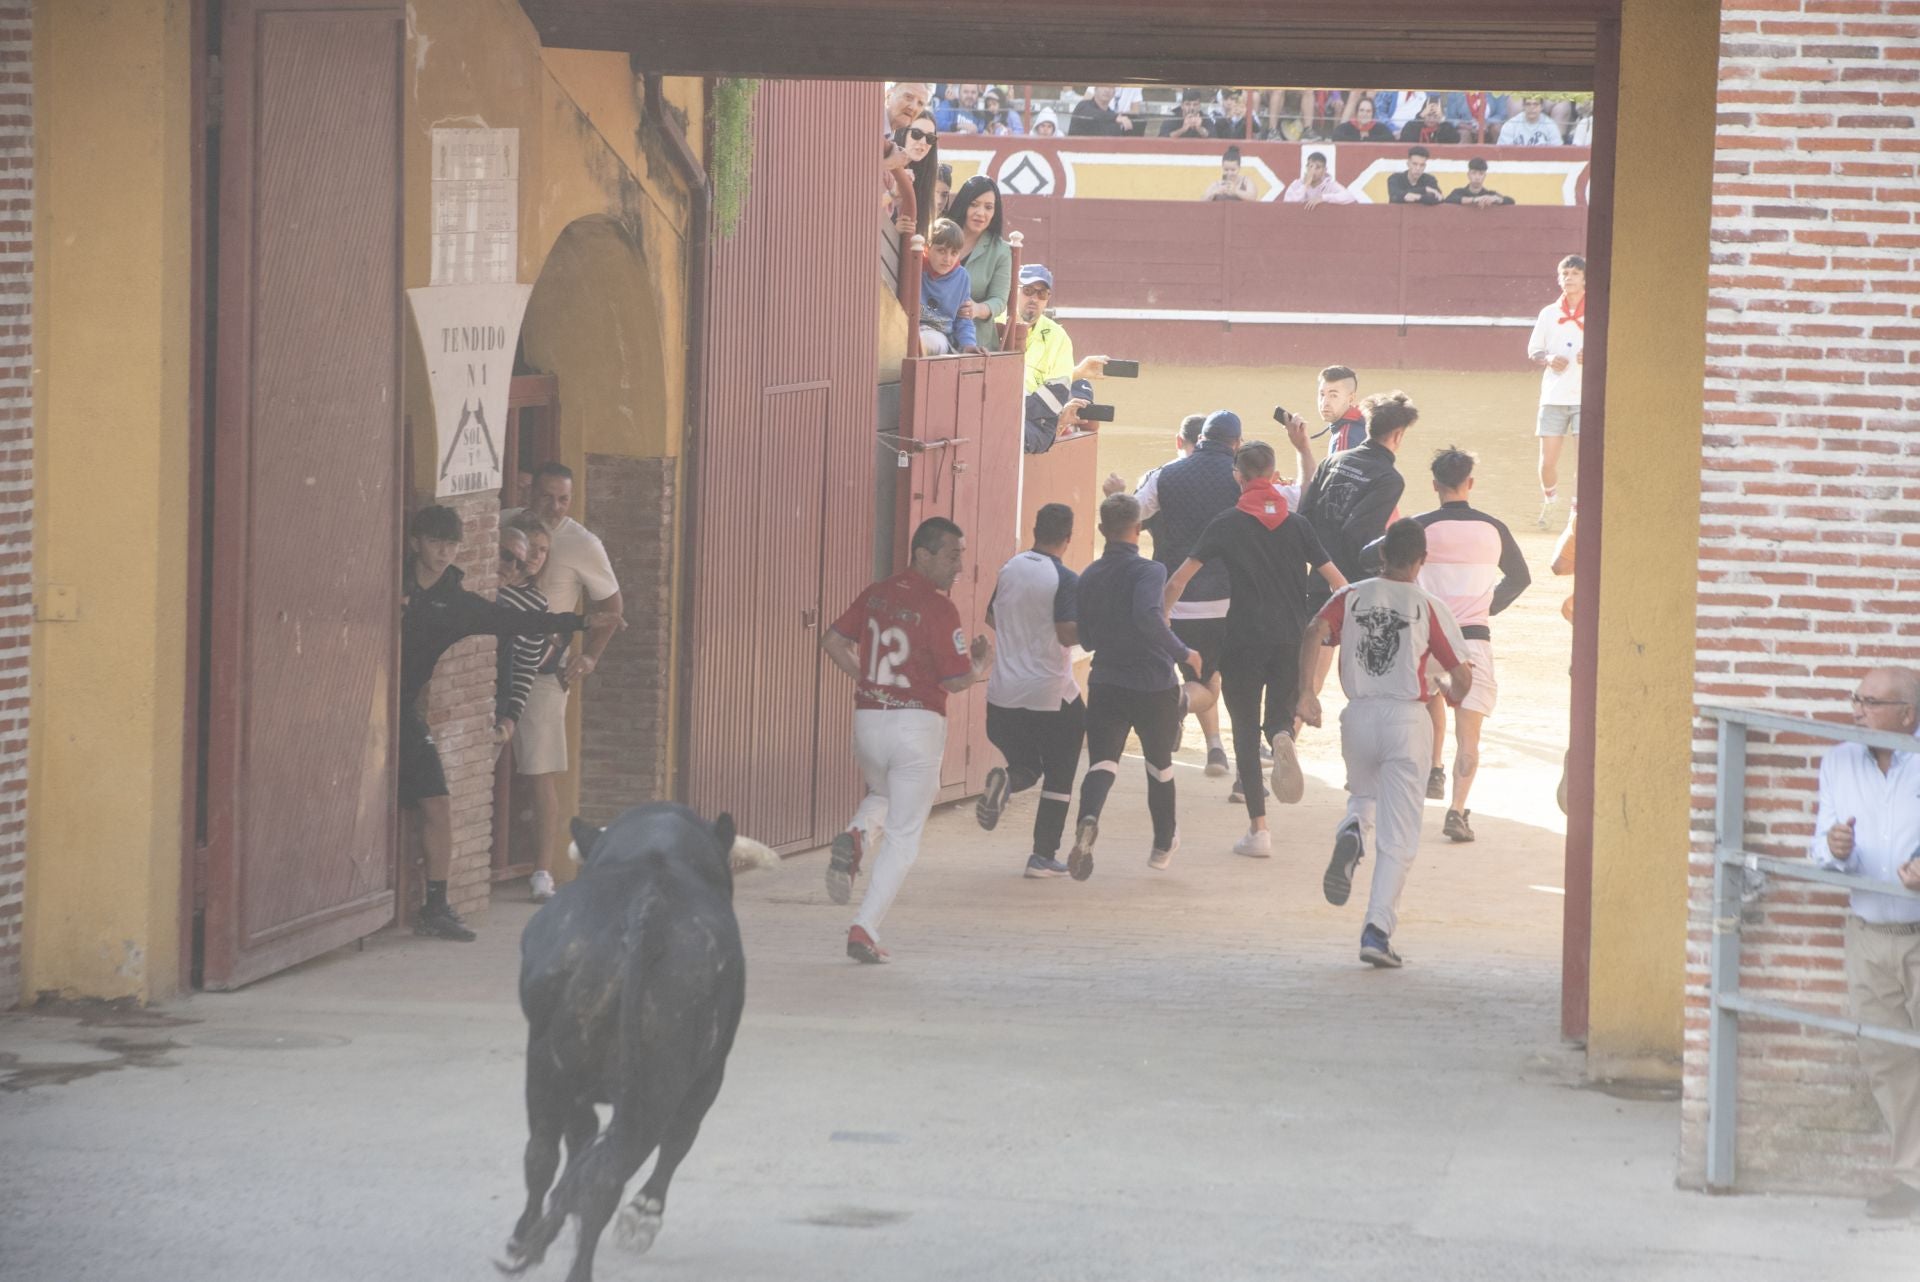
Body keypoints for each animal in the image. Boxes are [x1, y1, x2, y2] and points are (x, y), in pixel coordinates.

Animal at [495, 806, 764, 1274]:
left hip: (549, 1063)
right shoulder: (709, 1071)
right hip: (653, 1078)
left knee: (548, 1152)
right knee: (616, 1159)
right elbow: (674, 1139)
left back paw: (530, 1237)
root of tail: (647, 911)